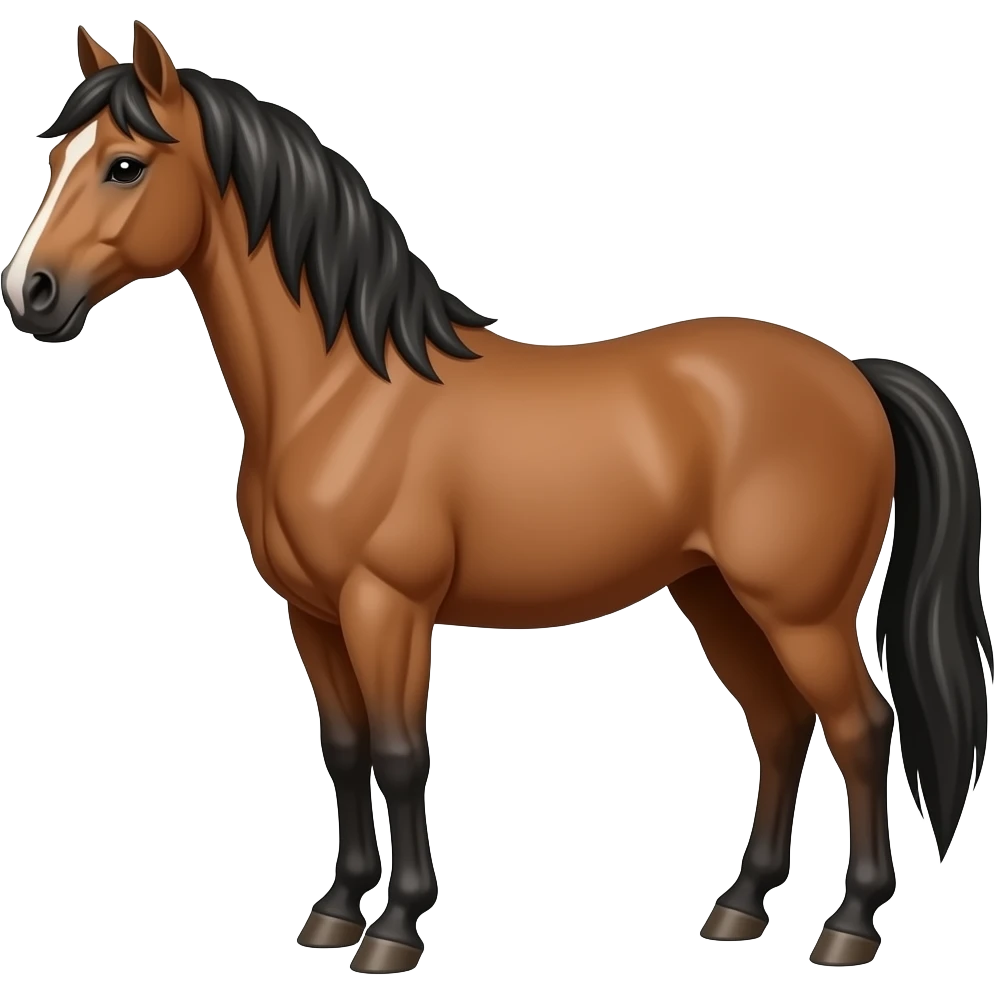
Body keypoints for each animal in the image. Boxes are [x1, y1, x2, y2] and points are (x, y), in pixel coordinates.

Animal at [2, 21, 990, 974]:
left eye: (125, 164)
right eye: (56, 161)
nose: (29, 293)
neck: (342, 392)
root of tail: (852, 374)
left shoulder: (386, 607)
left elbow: (401, 757)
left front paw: (395, 929)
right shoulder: (311, 614)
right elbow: (345, 750)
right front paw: (334, 911)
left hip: (800, 610)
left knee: (860, 727)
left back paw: (848, 925)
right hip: (716, 596)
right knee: (781, 726)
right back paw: (739, 908)